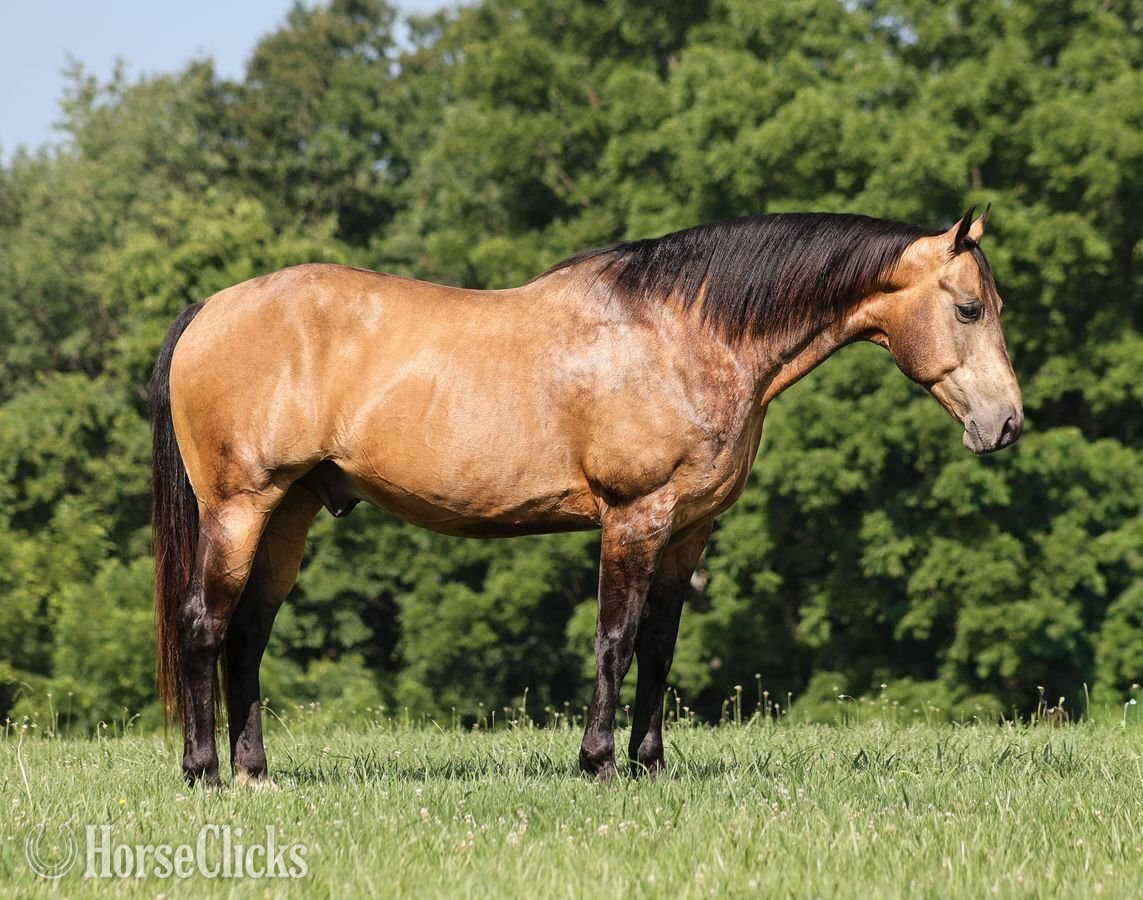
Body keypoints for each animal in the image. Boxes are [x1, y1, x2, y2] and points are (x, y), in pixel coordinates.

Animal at [151, 206, 1022, 786]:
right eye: (968, 307)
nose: (1007, 423)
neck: (682, 335)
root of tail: (210, 309)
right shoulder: (633, 519)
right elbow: (613, 639)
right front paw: (598, 763)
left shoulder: (688, 532)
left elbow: (658, 648)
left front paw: (651, 764)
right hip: (240, 508)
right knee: (205, 624)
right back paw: (204, 773)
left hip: (289, 513)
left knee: (248, 634)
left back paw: (256, 772)